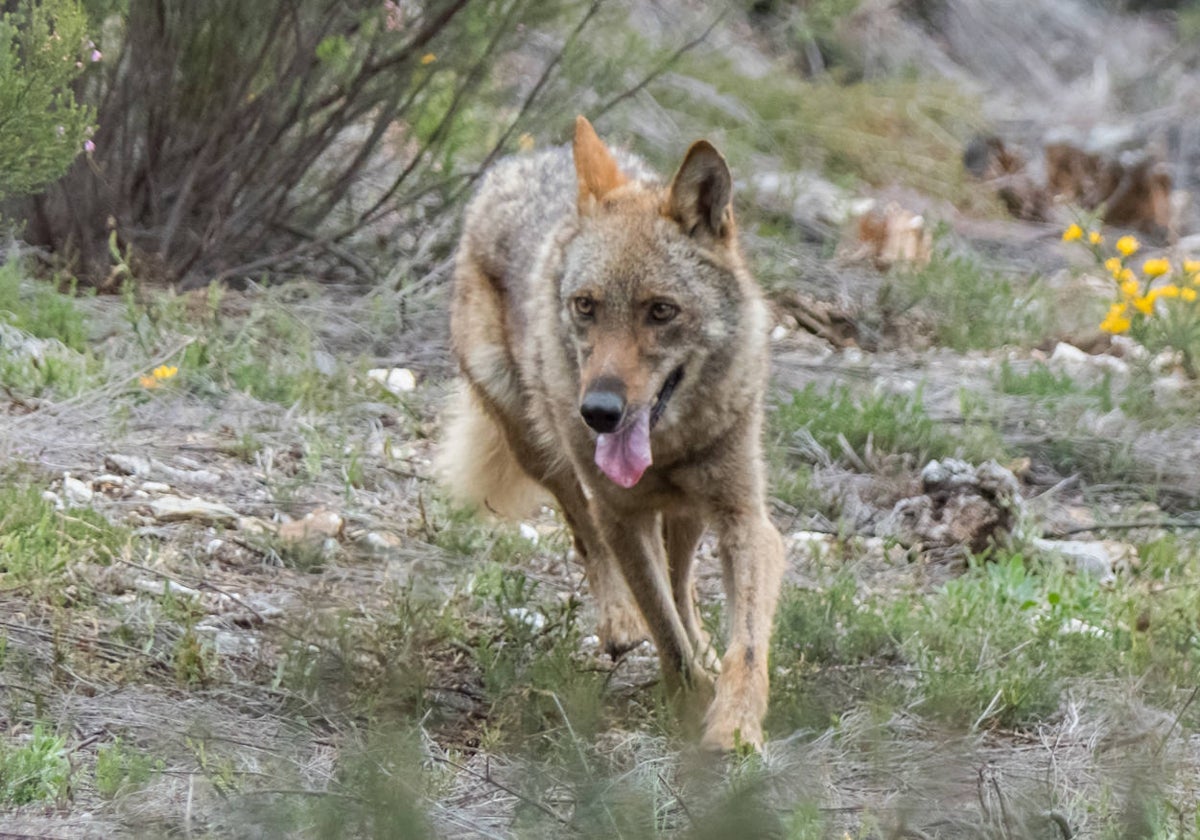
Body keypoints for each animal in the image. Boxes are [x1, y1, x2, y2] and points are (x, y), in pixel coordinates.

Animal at [441, 116, 787, 748]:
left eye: (661, 311)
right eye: (586, 306)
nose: (599, 411)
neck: (670, 446)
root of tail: (527, 161)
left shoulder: (745, 521)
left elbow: (744, 646)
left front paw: (733, 728)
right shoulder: (622, 515)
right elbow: (664, 632)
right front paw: (688, 703)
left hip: (687, 512)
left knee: (681, 583)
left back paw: (702, 644)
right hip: (541, 450)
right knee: (588, 534)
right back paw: (621, 622)